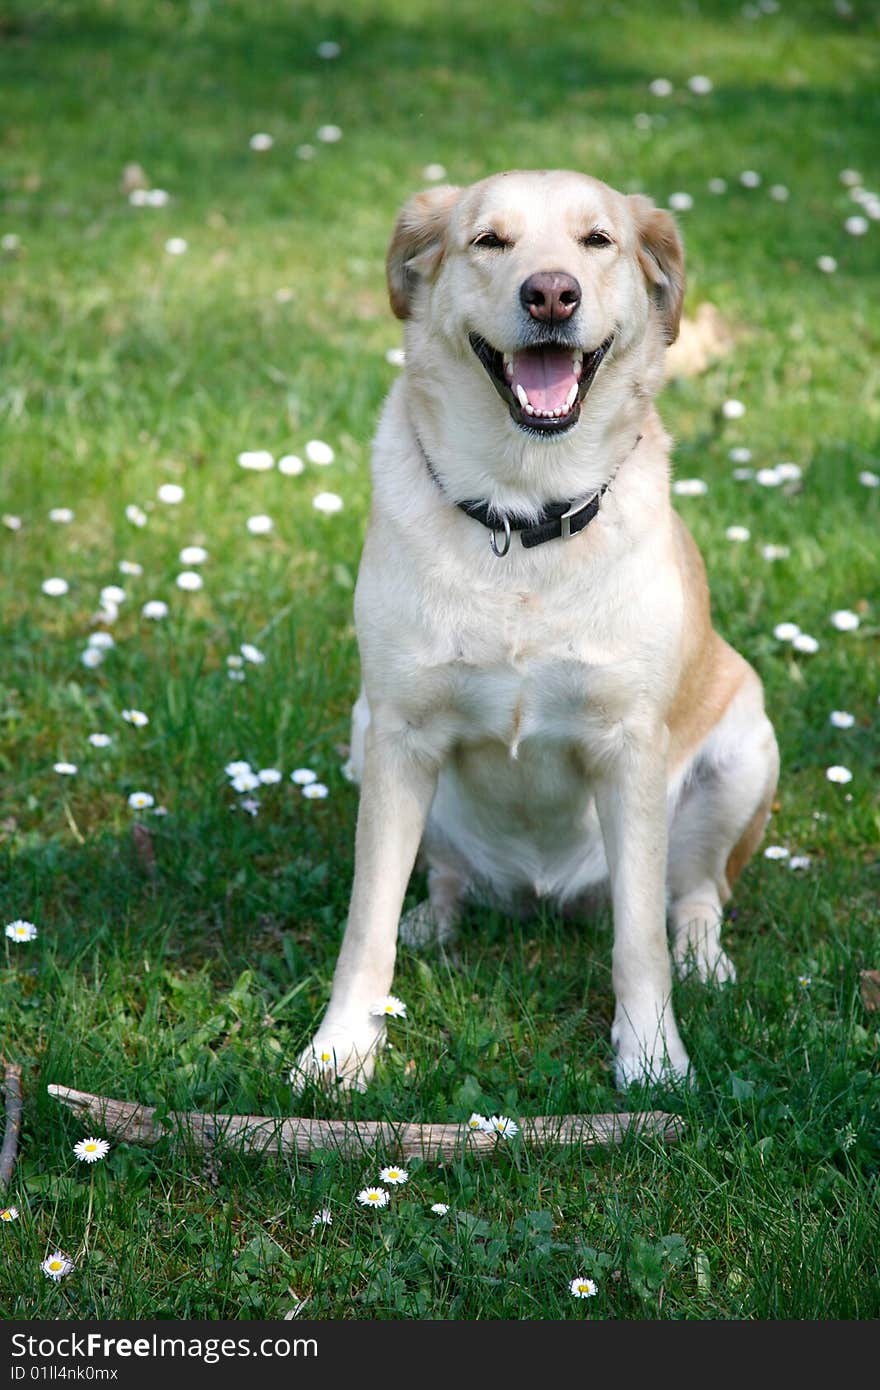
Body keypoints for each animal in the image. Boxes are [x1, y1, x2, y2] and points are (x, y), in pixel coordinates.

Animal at [293, 168, 772, 1089]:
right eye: (490, 240)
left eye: (598, 241)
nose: (551, 293)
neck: (524, 509)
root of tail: (543, 893)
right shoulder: (401, 735)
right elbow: (364, 925)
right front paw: (341, 1049)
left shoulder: (630, 748)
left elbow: (638, 940)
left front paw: (651, 1054)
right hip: (366, 734)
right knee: (441, 877)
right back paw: (433, 921)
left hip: (744, 748)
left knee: (693, 896)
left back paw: (706, 961)